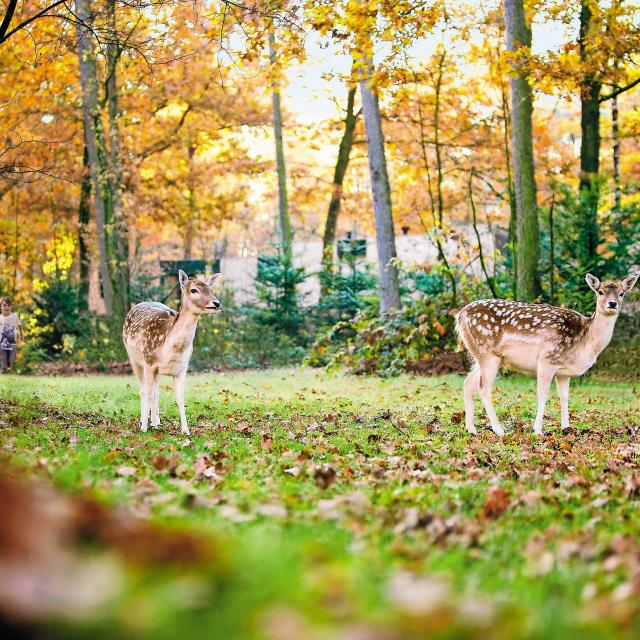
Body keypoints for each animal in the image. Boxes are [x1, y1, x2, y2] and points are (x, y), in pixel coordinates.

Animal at [123, 270, 222, 436]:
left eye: (212, 290)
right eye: (194, 290)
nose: (217, 303)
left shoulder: (182, 368)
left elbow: (180, 398)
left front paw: (186, 430)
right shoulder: (149, 363)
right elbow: (147, 393)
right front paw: (143, 428)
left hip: (158, 371)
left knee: (156, 391)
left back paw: (156, 422)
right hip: (134, 359)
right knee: (143, 389)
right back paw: (144, 422)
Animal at [458, 272, 636, 438]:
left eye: (622, 293)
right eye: (600, 292)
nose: (612, 304)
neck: (584, 341)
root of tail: (460, 316)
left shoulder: (563, 372)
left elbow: (564, 397)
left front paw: (566, 428)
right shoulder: (547, 359)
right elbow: (543, 395)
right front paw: (537, 430)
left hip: (481, 356)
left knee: (468, 383)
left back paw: (471, 429)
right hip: (487, 353)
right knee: (483, 388)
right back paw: (499, 430)